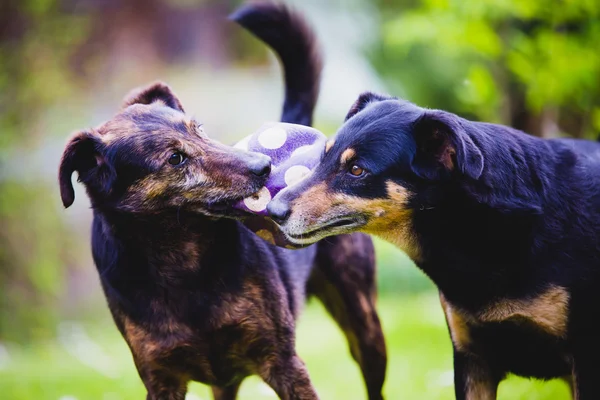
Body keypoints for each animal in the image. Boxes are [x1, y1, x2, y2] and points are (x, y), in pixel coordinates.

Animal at [58, 3, 386, 400]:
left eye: (200, 131)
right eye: (175, 158)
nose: (264, 166)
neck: (181, 263)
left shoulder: (283, 362)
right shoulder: (161, 377)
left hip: (363, 323)